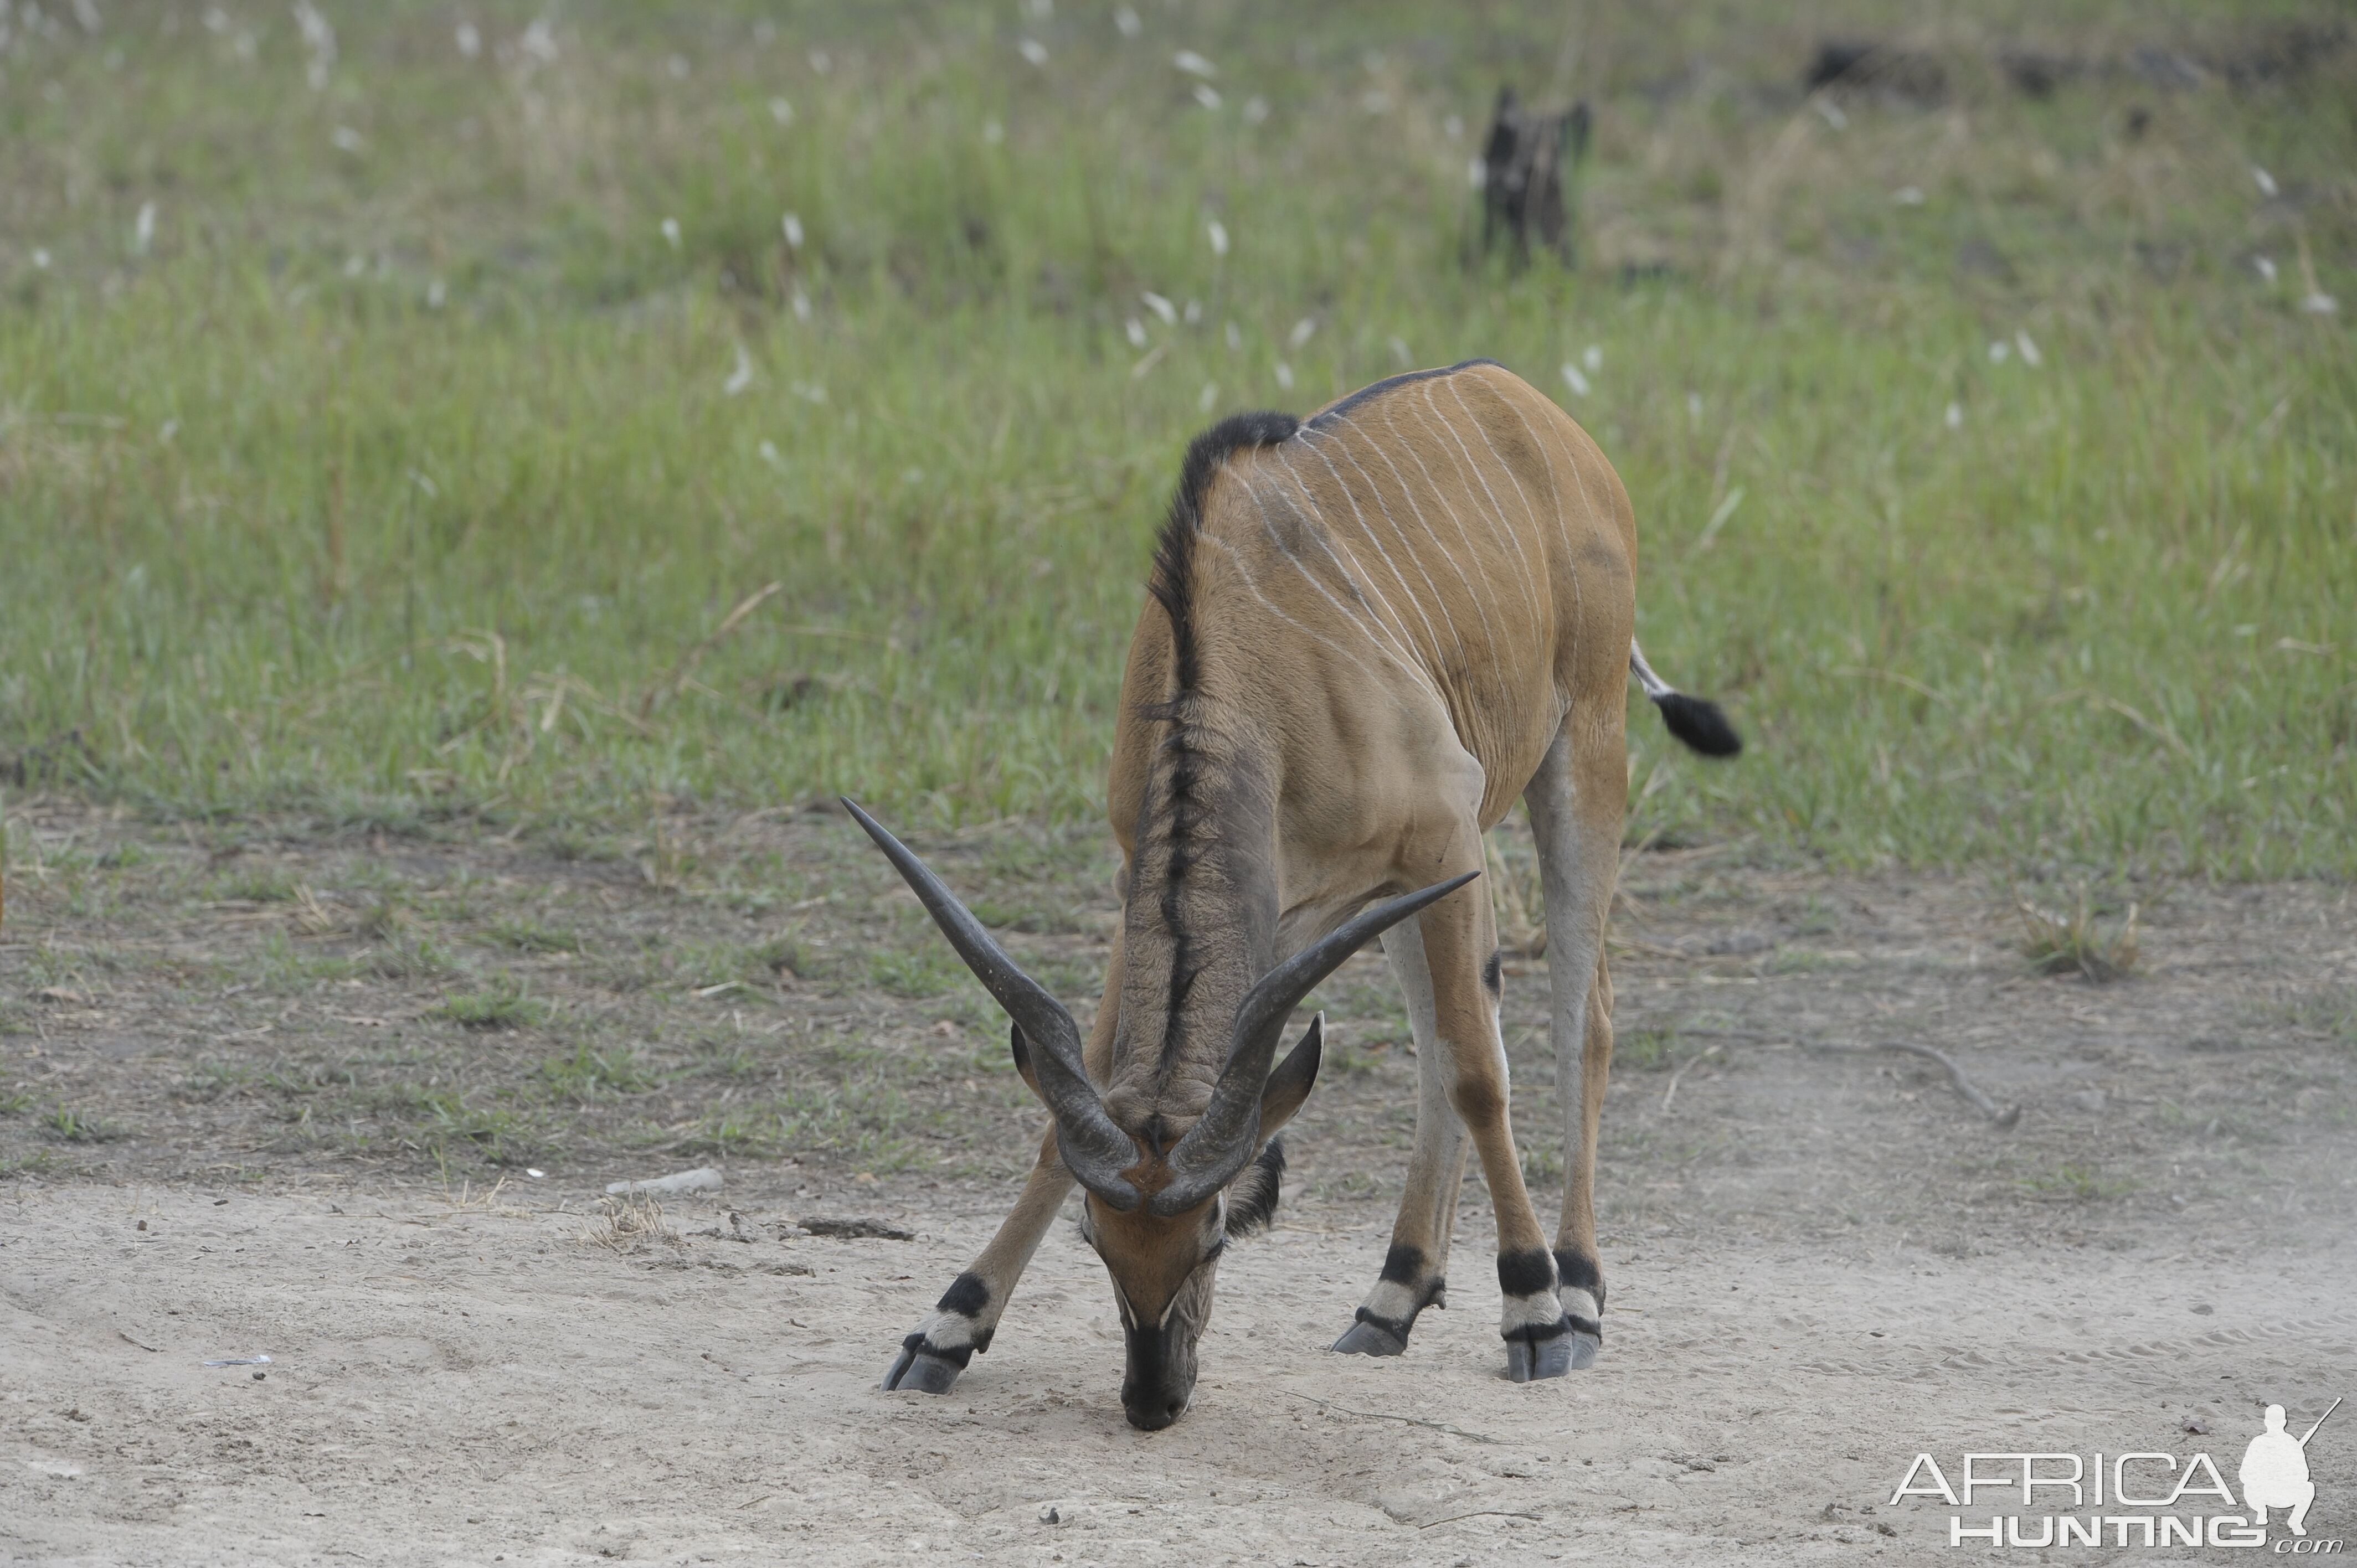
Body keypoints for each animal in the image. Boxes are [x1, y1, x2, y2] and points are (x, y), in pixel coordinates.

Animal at [848, 358, 1735, 1433]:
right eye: (1098, 1241)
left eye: (1214, 1240)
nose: (1153, 1397)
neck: (1246, 662)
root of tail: (1527, 402)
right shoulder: (1170, 885)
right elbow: (1075, 1105)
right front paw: (947, 1327)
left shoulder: (1442, 830)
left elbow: (1481, 1072)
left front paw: (1531, 1312)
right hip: (1412, 890)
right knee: (1454, 1034)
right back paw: (1392, 1297)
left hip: (1582, 752)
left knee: (1578, 1020)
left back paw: (1577, 1290)